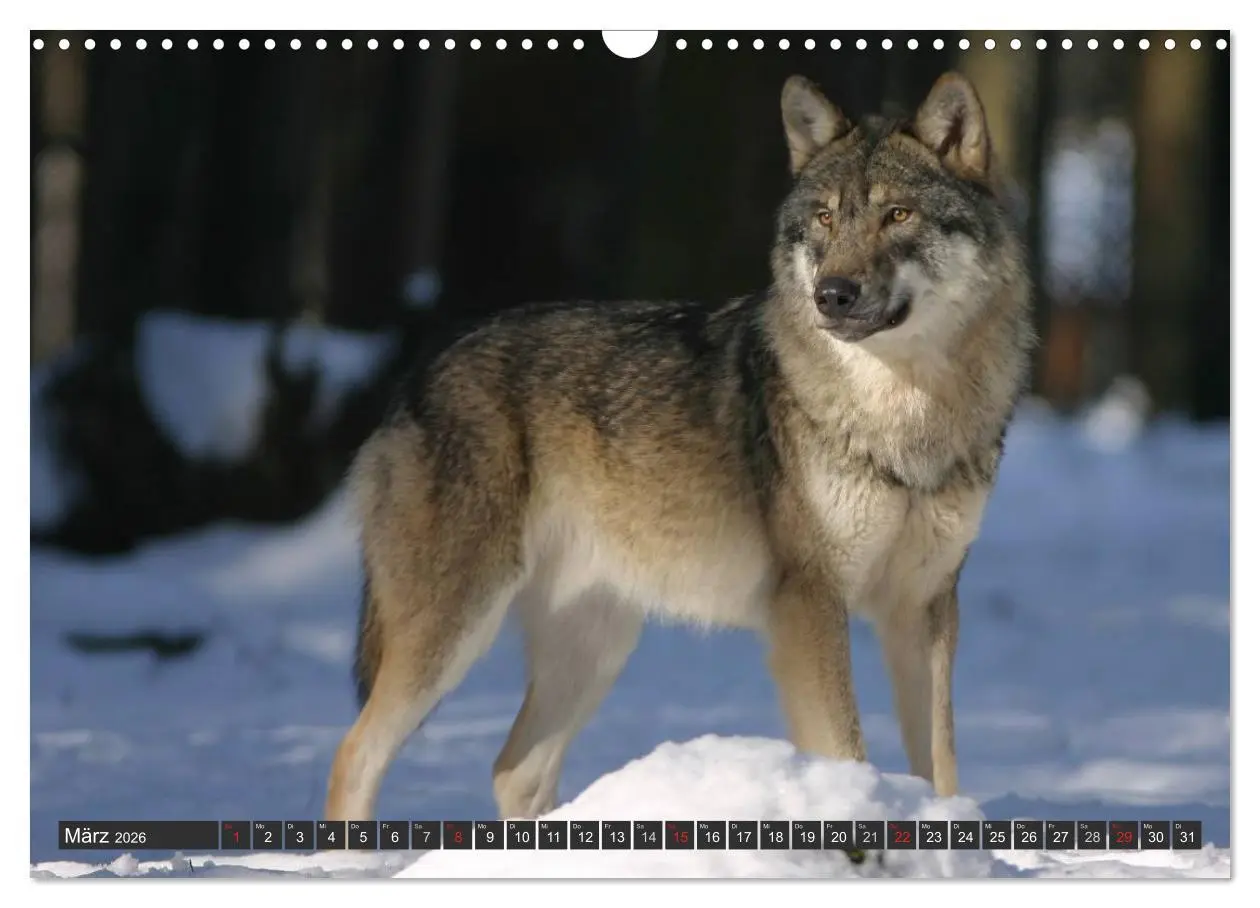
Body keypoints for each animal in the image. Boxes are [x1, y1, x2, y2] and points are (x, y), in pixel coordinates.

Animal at [325, 71, 1034, 822]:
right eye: (824, 219)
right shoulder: (809, 604)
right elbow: (846, 749)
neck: (904, 417)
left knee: (514, 769)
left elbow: (941, 764)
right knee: (355, 753)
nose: (832, 295)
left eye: (898, 215)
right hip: (455, 630)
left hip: (596, 645)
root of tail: (419, 372)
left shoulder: (924, 607)